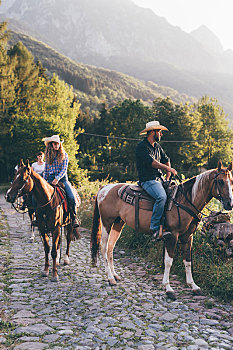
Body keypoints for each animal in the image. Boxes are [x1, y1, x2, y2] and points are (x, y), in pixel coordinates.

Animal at [91, 161, 233, 300]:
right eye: (220, 181)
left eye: (231, 181)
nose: (229, 204)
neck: (185, 201)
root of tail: (105, 188)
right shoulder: (172, 236)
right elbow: (168, 262)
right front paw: (168, 289)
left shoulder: (188, 237)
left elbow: (187, 261)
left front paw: (193, 286)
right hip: (106, 223)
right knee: (104, 247)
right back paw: (110, 278)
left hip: (118, 223)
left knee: (110, 247)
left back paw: (115, 275)